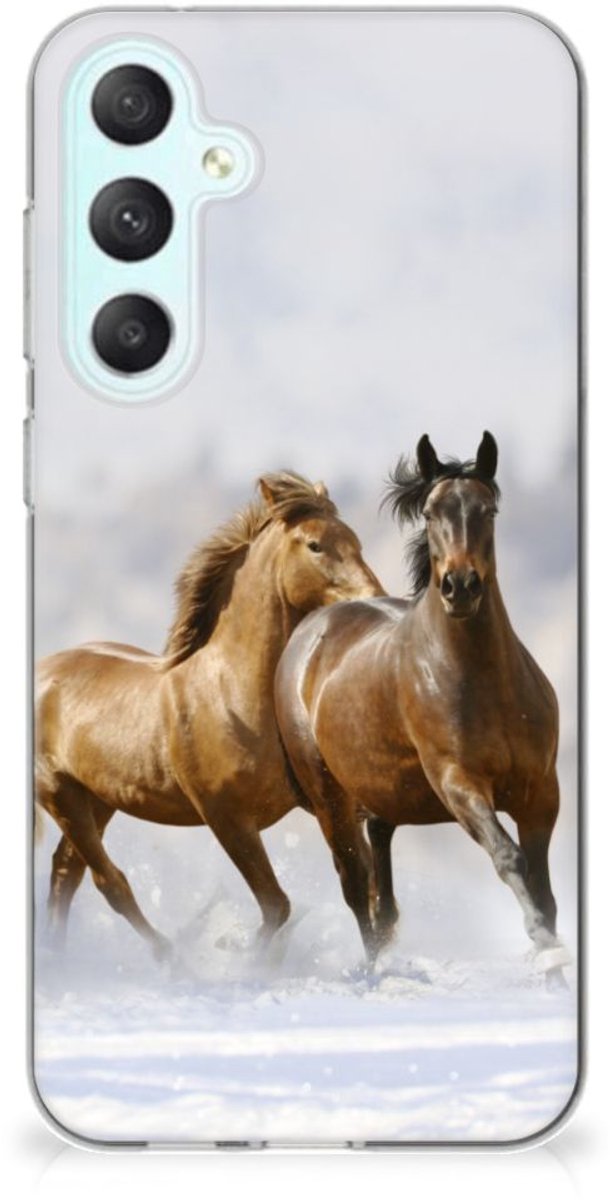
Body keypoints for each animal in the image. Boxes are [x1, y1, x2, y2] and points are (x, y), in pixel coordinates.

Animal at [36, 471, 383, 959]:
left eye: (355, 540)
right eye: (315, 544)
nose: (375, 599)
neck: (233, 695)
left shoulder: (327, 804)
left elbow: (360, 885)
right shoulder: (227, 818)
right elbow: (276, 905)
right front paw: (241, 956)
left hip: (98, 799)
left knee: (66, 873)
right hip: (59, 794)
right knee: (110, 882)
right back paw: (170, 958)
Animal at [275, 433, 569, 986]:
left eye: (488, 509)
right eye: (431, 513)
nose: (460, 586)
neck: (483, 682)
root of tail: (310, 630)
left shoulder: (540, 791)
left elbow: (543, 887)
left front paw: (556, 971)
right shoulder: (459, 783)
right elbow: (510, 859)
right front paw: (545, 951)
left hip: (382, 793)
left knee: (380, 878)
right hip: (329, 799)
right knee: (355, 885)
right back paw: (374, 972)